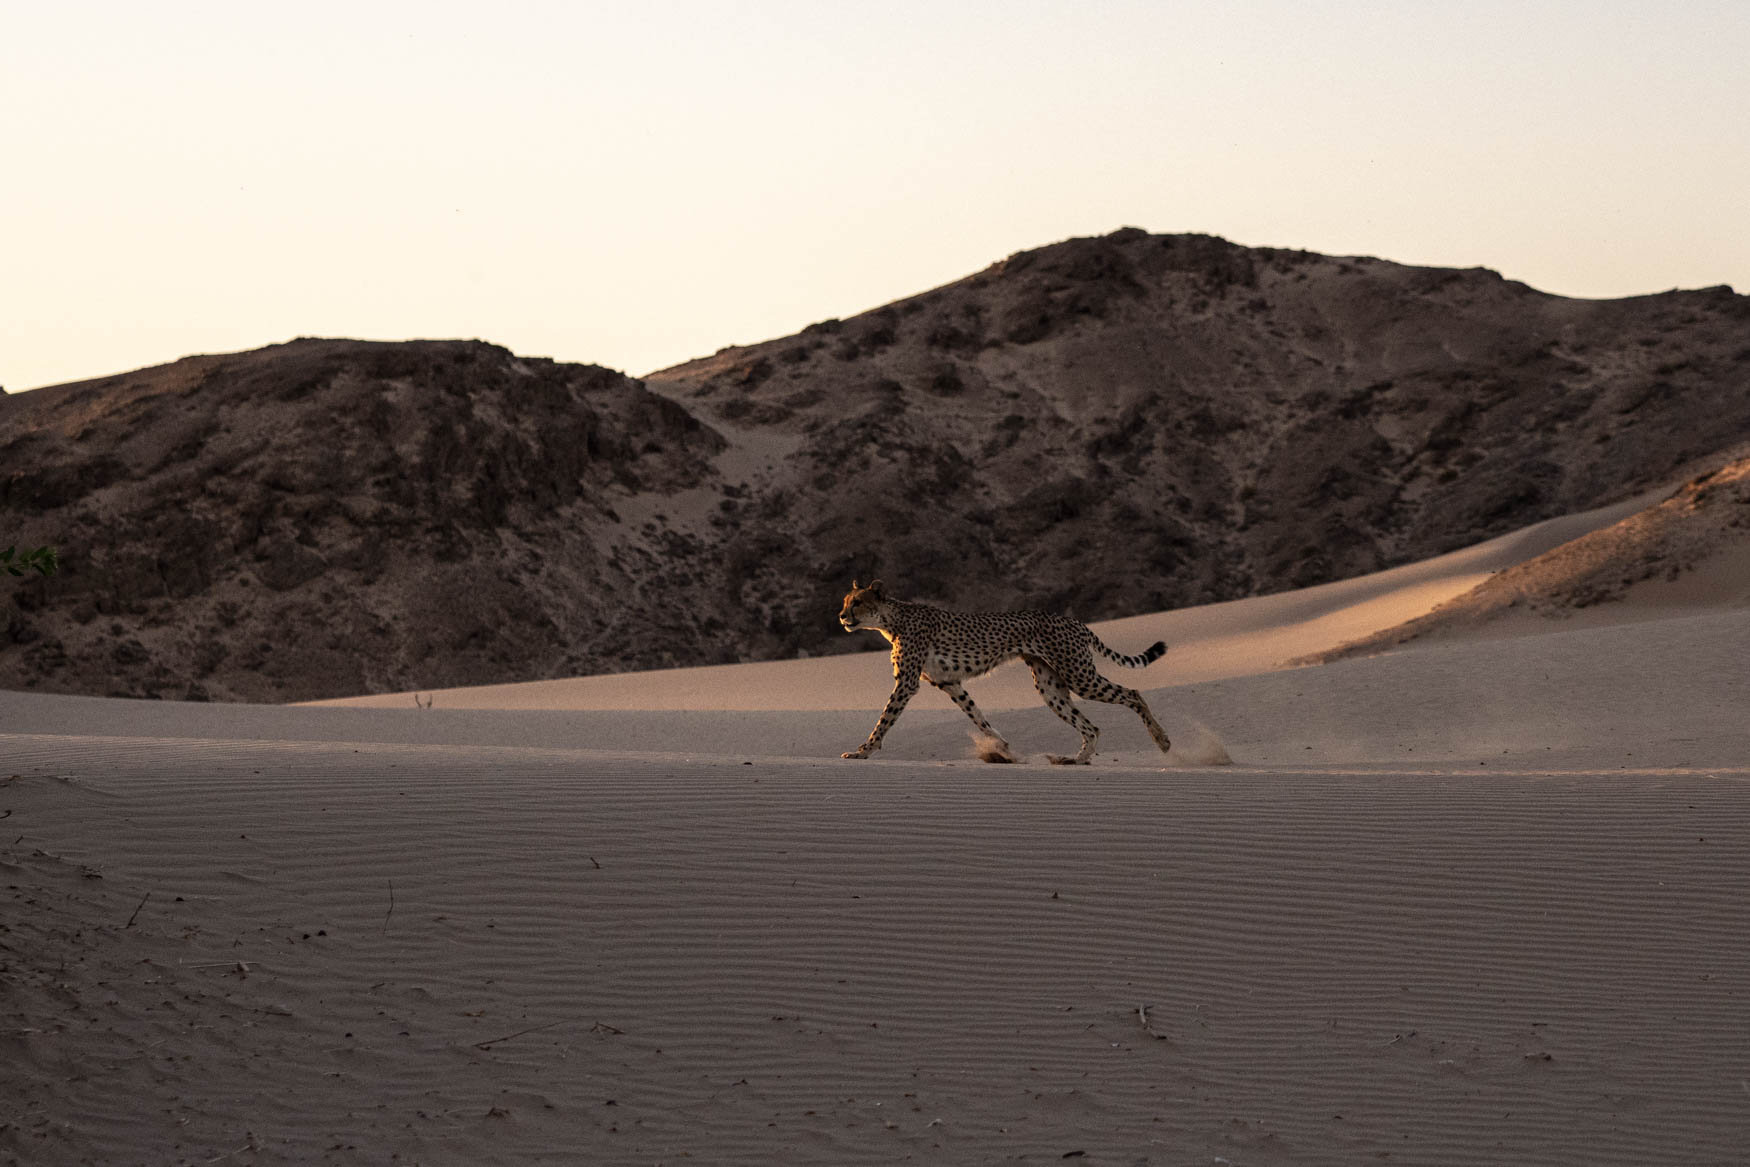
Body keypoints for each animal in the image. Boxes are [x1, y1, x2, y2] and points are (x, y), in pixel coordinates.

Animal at [836, 580, 1169, 766]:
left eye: (857, 603)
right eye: (845, 602)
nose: (841, 616)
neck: (891, 619)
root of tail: (1074, 621)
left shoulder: (907, 684)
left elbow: (884, 719)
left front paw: (862, 751)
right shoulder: (949, 682)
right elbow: (980, 718)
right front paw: (1004, 749)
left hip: (1078, 675)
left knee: (1132, 694)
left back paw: (1162, 740)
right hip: (1050, 686)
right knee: (1091, 727)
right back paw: (1075, 760)